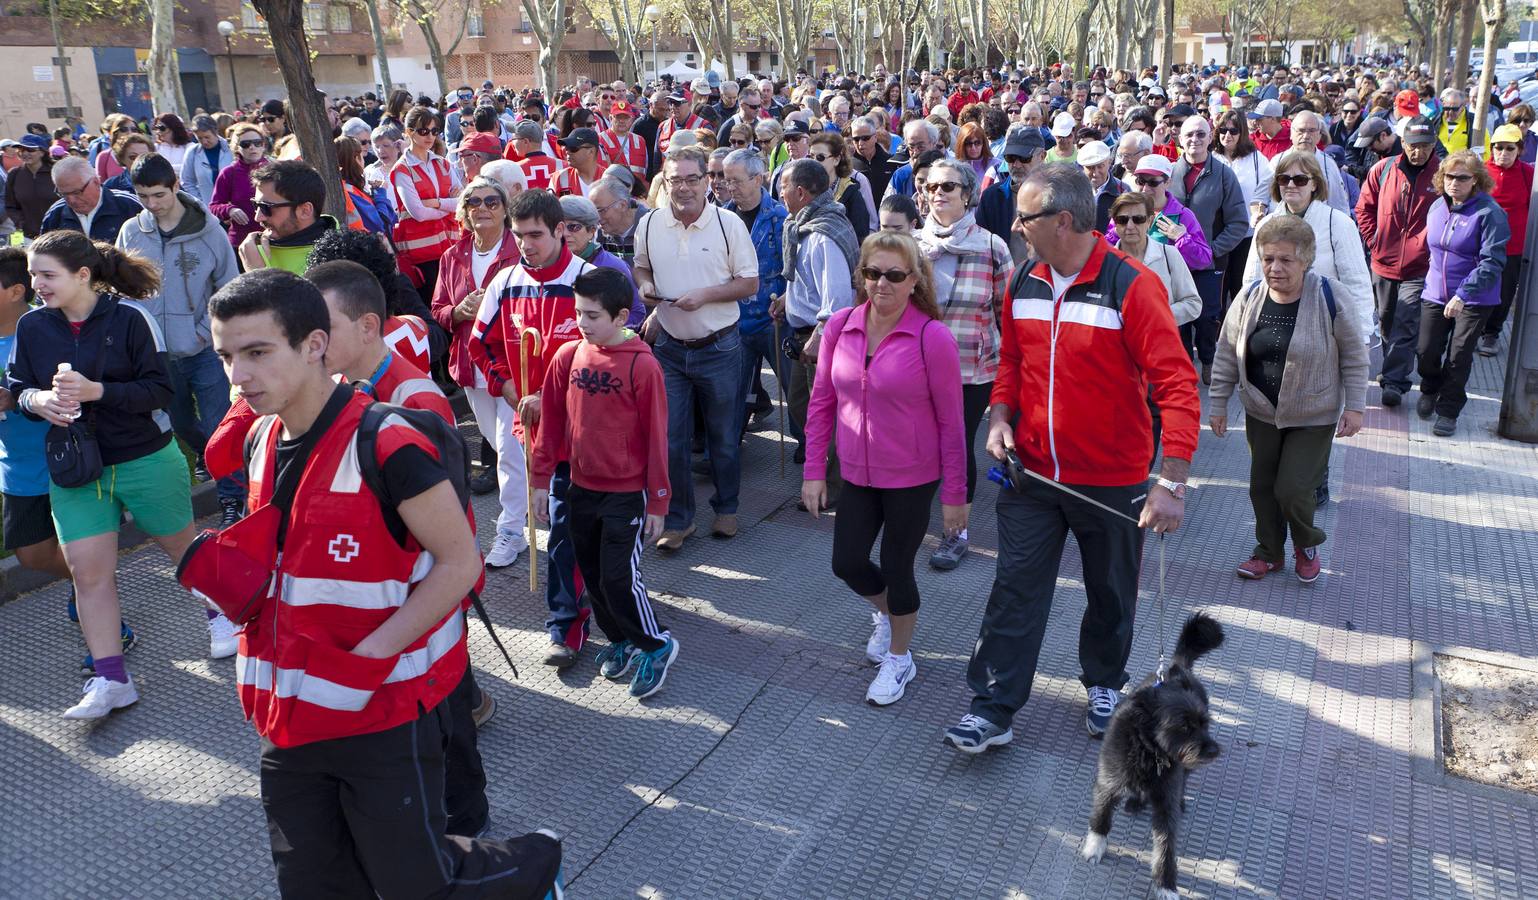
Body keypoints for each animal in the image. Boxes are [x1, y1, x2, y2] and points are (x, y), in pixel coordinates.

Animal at [1082, 609, 1224, 898]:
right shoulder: (1108, 783)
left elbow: (1165, 849)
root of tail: (1176, 667)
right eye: (1183, 726)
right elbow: (1100, 818)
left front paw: (1165, 885)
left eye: (1205, 723)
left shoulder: (1166, 805)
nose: (1214, 750)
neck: (1149, 750)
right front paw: (1094, 847)